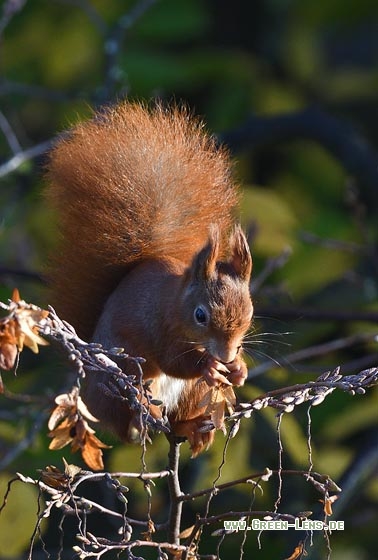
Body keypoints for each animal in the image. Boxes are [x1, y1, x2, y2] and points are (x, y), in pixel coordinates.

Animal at [47, 101, 254, 456]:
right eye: (201, 315)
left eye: (250, 313)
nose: (226, 356)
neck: (176, 302)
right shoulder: (158, 324)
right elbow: (173, 359)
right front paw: (209, 366)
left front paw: (238, 369)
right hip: (127, 374)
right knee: (128, 421)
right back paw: (140, 421)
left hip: (196, 394)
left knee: (178, 421)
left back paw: (194, 428)